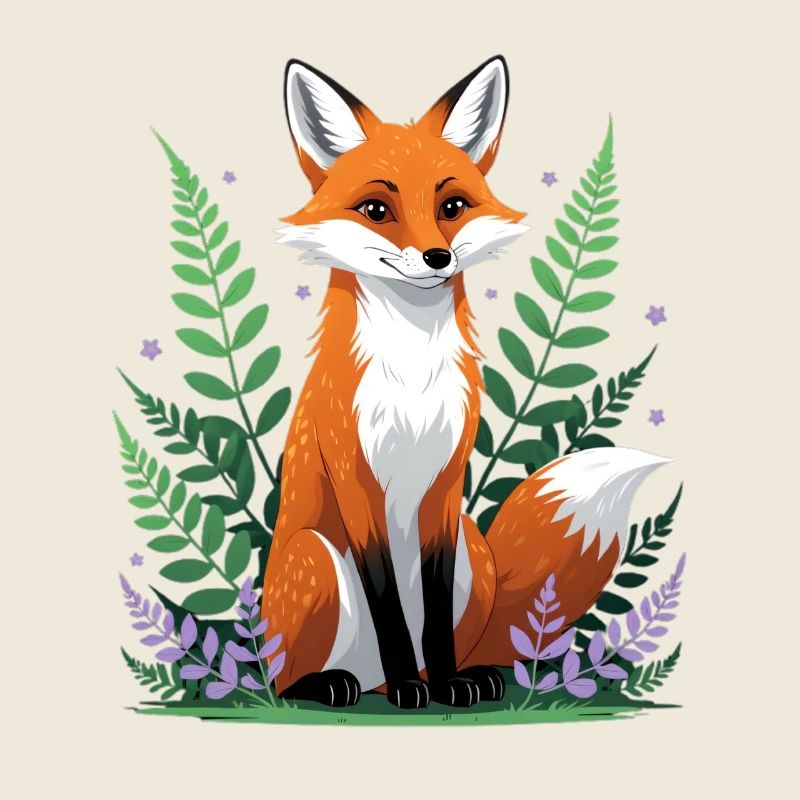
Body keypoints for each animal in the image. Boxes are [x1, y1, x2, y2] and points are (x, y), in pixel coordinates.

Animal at [261, 55, 668, 708]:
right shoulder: (355, 479)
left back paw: (451, 678)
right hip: (313, 558)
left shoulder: (447, 484)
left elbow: (429, 604)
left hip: (474, 552)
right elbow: (391, 607)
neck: (413, 375)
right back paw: (342, 683)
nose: (436, 257)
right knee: (283, 679)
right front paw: (412, 686)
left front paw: (447, 681)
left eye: (451, 207)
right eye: (376, 211)